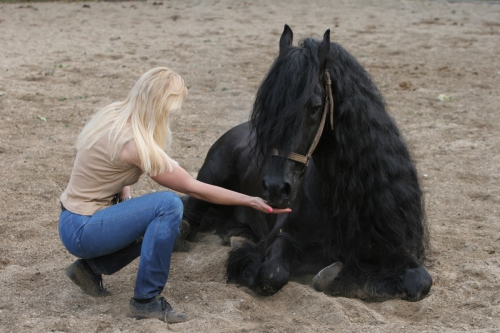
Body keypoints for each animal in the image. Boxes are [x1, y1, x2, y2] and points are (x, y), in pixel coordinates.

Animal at [182, 24, 432, 300]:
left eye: (314, 107)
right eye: (266, 106)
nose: (275, 188)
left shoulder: (391, 246)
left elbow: (420, 281)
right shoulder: (282, 238)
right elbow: (271, 274)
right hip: (211, 177)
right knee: (191, 214)